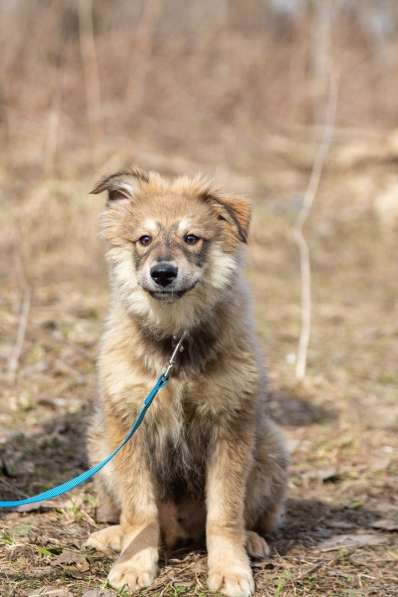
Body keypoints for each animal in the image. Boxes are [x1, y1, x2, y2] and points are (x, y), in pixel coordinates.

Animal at [85, 168, 288, 596]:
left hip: (270, 447)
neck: (174, 339)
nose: (163, 273)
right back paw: (114, 537)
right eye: (144, 239)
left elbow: (224, 513)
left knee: (255, 517)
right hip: (100, 443)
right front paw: (134, 564)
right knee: (132, 516)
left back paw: (252, 540)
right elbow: (140, 510)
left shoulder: (230, 424)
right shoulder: (129, 424)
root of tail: (180, 530)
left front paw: (230, 570)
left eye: (191, 238)